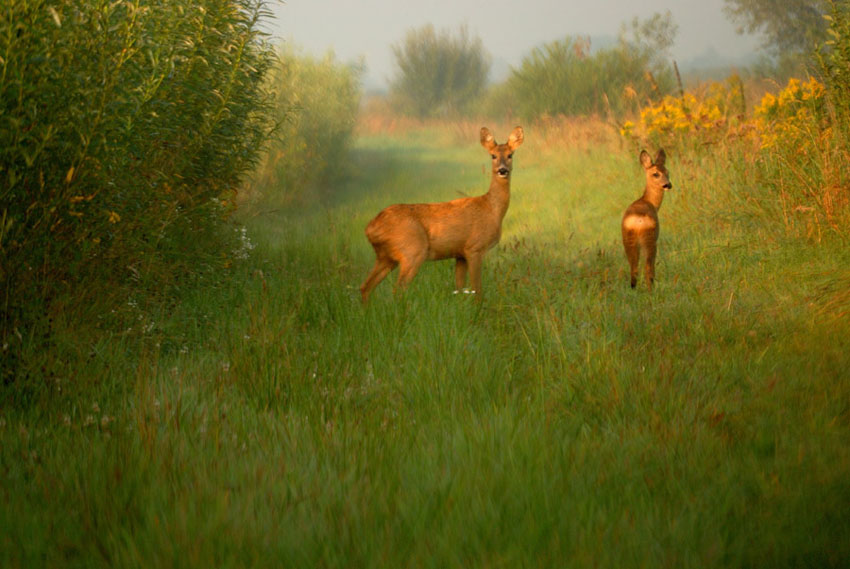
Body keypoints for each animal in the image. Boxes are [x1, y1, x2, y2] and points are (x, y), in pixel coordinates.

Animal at [360, 125, 524, 302]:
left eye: (510, 155)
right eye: (493, 155)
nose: (502, 170)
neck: (491, 209)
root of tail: (370, 228)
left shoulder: (460, 254)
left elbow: (460, 287)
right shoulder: (474, 247)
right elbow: (477, 289)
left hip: (385, 256)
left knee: (365, 286)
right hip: (412, 250)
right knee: (398, 290)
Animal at [620, 148, 672, 288]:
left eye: (667, 172)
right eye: (655, 174)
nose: (668, 185)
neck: (649, 202)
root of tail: (637, 221)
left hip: (628, 239)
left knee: (634, 269)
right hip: (650, 239)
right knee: (648, 268)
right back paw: (651, 289)